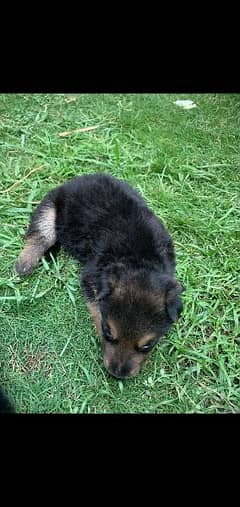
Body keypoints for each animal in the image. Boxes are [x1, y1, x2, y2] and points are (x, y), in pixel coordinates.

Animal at [15, 174, 183, 378]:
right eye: (108, 332)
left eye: (147, 345)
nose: (118, 374)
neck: (138, 260)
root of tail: (81, 177)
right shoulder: (90, 277)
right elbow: (96, 308)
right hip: (50, 208)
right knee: (39, 235)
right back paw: (24, 263)